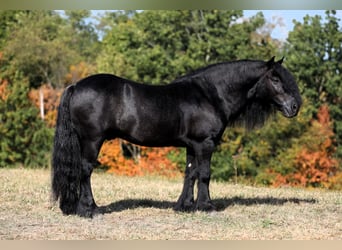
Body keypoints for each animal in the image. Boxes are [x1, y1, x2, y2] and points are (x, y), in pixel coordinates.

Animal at [51, 56, 302, 217]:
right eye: (276, 79)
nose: (294, 106)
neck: (211, 94)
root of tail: (75, 86)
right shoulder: (205, 143)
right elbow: (204, 174)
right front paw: (206, 206)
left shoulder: (192, 145)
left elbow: (190, 173)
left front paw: (185, 205)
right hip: (92, 141)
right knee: (85, 171)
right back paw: (90, 210)